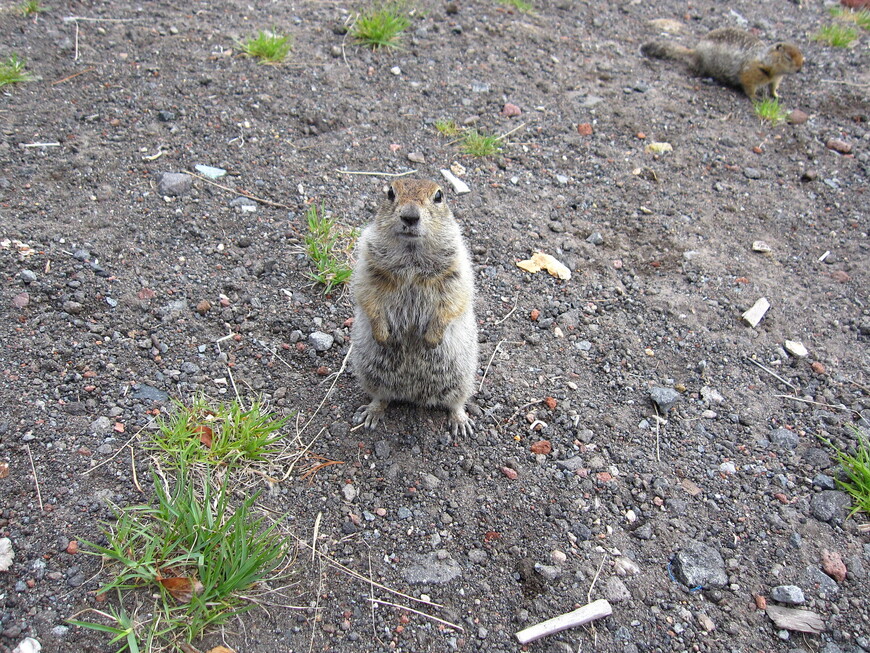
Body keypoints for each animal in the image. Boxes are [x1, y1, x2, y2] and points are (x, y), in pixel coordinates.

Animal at [350, 177, 480, 438]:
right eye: (390, 193)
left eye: (439, 196)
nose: (410, 216)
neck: (411, 258)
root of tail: (414, 396)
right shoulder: (368, 263)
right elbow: (368, 296)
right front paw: (382, 335)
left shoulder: (456, 268)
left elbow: (454, 300)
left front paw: (431, 339)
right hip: (371, 373)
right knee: (381, 396)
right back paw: (371, 412)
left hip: (461, 377)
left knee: (456, 402)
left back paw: (461, 421)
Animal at [640, 27, 804, 100]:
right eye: (788, 58)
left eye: (802, 55)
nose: (799, 69)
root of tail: (695, 50)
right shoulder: (751, 72)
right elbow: (748, 85)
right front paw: (755, 98)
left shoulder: (777, 78)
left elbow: (773, 87)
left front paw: (776, 95)